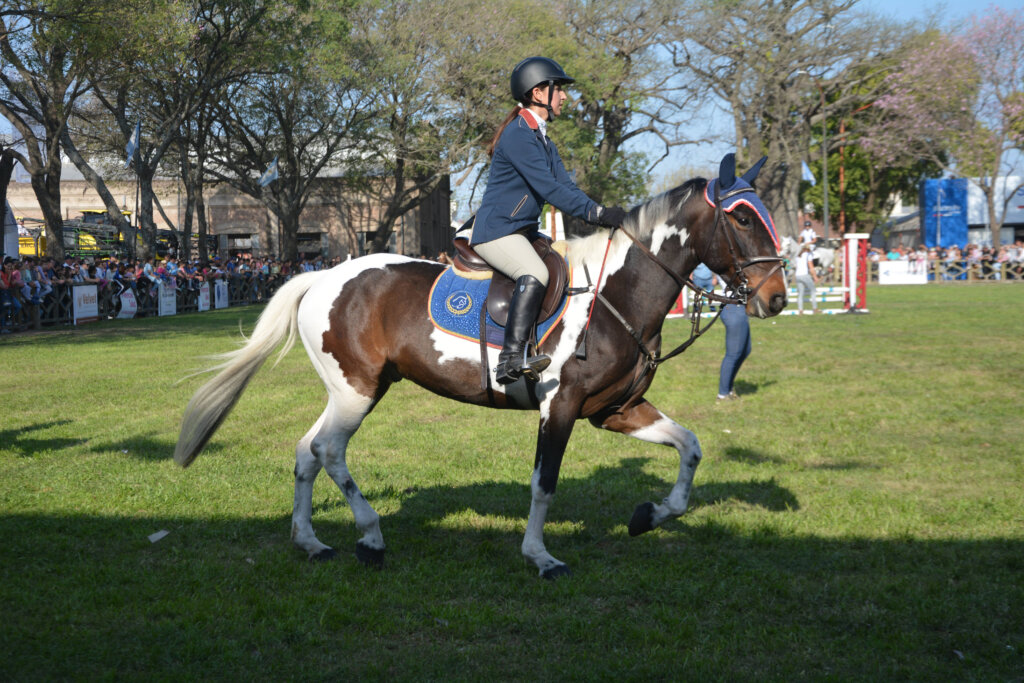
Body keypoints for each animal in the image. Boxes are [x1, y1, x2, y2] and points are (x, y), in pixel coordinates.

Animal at [174, 154, 788, 578]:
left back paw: (310, 542)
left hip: (349, 390)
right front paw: (540, 556)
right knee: (328, 451)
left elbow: (690, 447)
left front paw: (652, 516)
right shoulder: (560, 407)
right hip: (357, 391)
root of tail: (322, 274)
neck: (618, 294)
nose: (777, 298)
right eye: (741, 218)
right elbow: (544, 483)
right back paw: (370, 537)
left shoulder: (616, 408)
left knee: (307, 450)